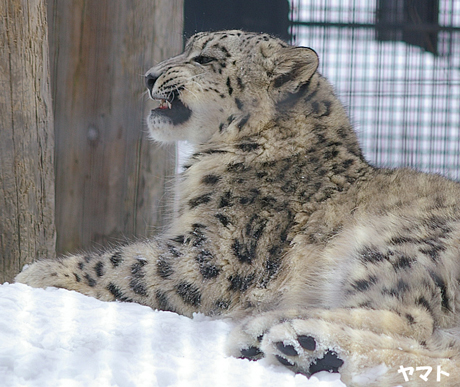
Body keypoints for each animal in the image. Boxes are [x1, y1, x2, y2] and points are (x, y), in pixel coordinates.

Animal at [14, 31, 460, 387]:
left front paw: (41, 272)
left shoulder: (220, 252)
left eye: (205, 58)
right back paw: (299, 348)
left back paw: (287, 336)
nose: (149, 76)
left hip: (396, 248)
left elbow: (131, 264)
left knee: (414, 322)